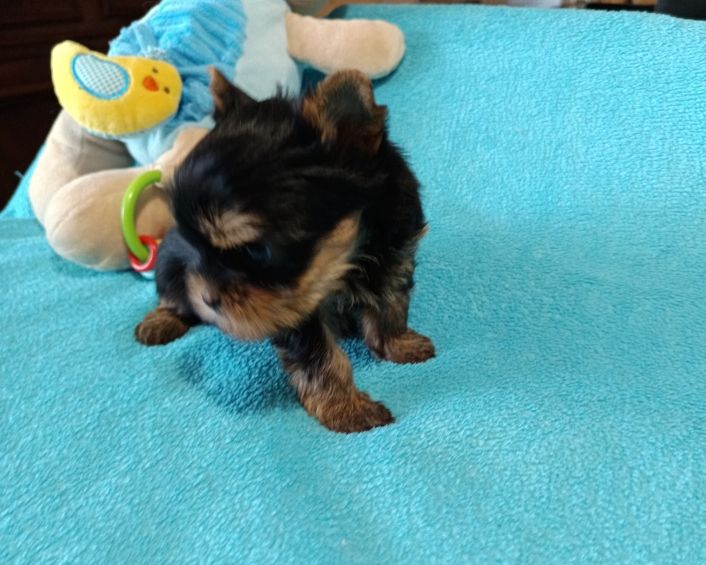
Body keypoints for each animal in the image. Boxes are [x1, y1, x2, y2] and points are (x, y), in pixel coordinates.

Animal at [135, 68, 435, 432]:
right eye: (193, 244)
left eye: (256, 252)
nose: (207, 299)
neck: (349, 255)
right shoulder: (294, 306)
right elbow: (319, 356)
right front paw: (345, 407)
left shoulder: (396, 248)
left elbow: (390, 300)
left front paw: (397, 342)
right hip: (169, 262)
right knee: (171, 291)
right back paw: (161, 320)